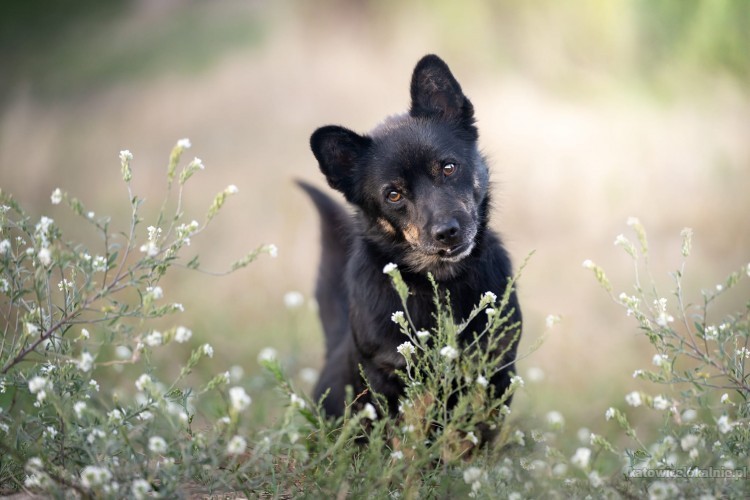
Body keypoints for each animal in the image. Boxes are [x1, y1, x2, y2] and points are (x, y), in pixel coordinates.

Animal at [302, 54, 524, 420]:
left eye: (448, 168)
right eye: (393, 195)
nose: (447, 233)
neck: (440, 283)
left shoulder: (495, 373)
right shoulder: (387, 382)